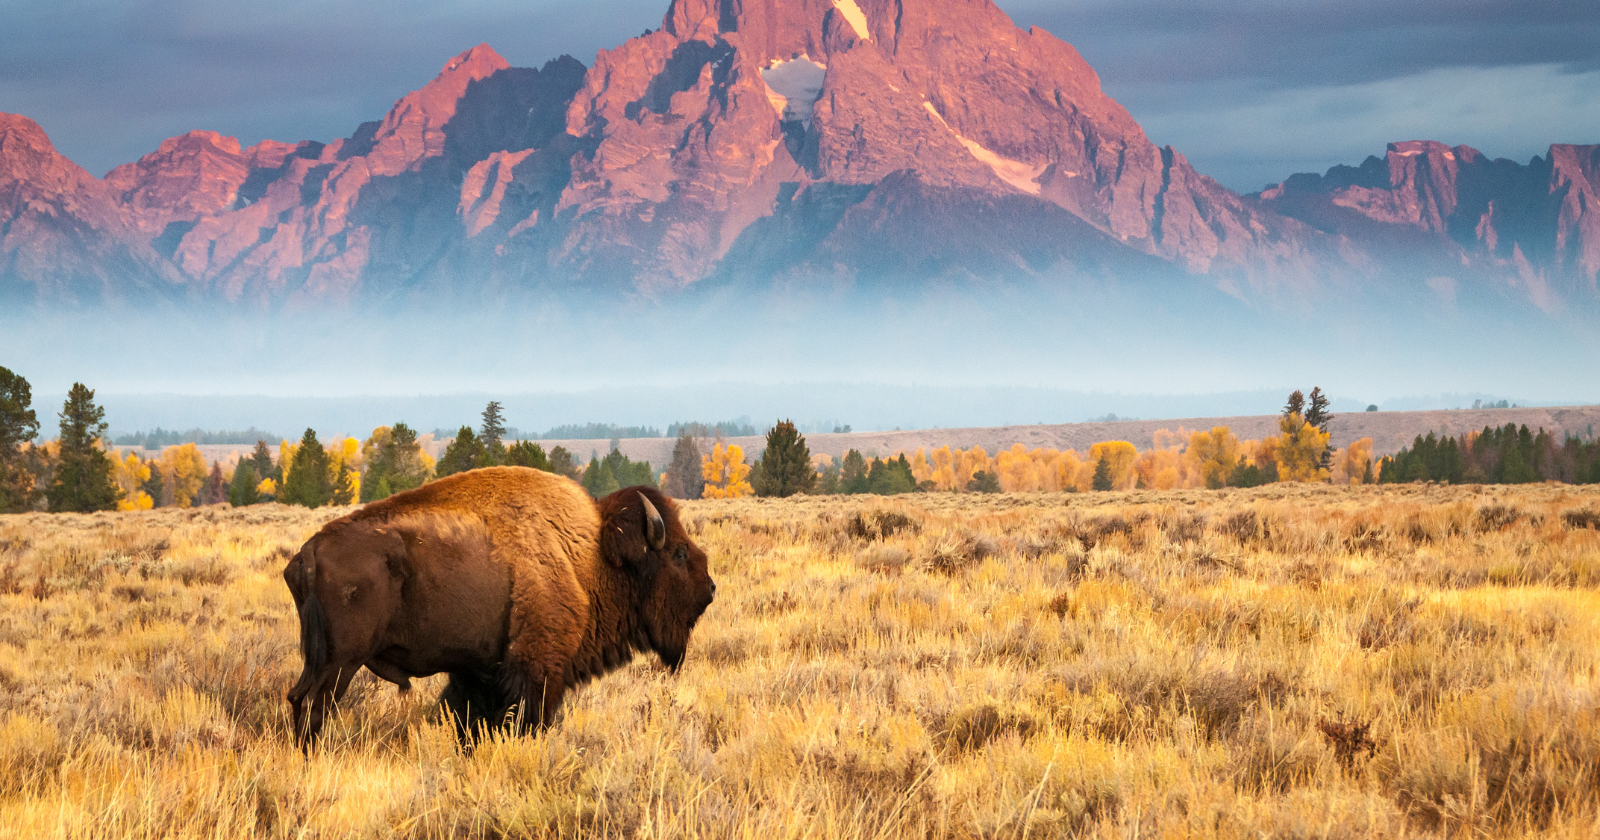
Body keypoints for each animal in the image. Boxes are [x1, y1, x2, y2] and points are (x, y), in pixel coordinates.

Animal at [282, 466, 715, 745]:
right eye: (678, 554)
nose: (710, 588)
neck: (590, 556)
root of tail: (309, 552)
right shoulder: (537, 670)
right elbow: (527, 721)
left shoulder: (479, 672)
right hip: (340, 662)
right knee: (314, 706)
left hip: (321, 659)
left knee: (299, 699)